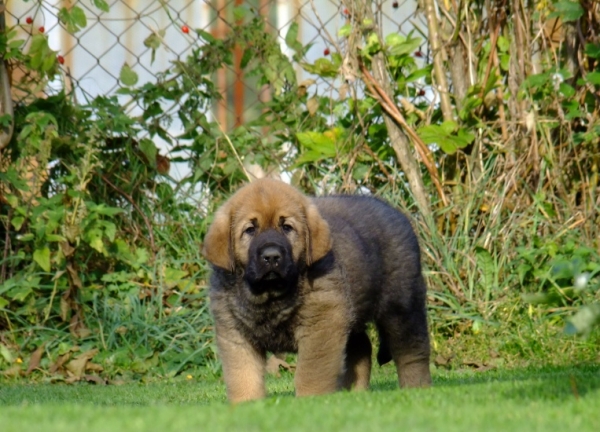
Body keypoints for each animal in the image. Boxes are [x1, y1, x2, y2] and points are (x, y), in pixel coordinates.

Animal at [203, 178, 432, 402]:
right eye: (250, 230)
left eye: (287, 227)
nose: (271, 256)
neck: (270, 296)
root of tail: (394, 212)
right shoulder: (235, 333)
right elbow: (243, 375)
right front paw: (246, 404)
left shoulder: (321, 323)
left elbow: (312, 371)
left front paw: (311, 400)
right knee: (361, 347)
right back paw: (353, 393)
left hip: (401, 306)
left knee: (412, 352)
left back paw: (417, 388)